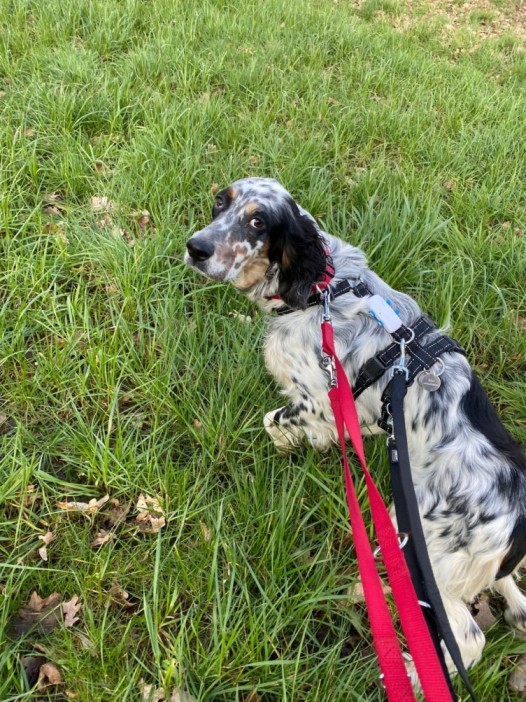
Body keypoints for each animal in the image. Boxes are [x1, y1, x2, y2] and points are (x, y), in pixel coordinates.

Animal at [185, 177, 526, 680]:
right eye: (219, 202)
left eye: (258, 221)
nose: (197, 247)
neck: (324, 286)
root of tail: (516, 516)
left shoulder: (316, 398)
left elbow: (273, 423)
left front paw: (286, 445)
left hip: (422, 550)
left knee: (468, 639)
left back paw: (413, 673)